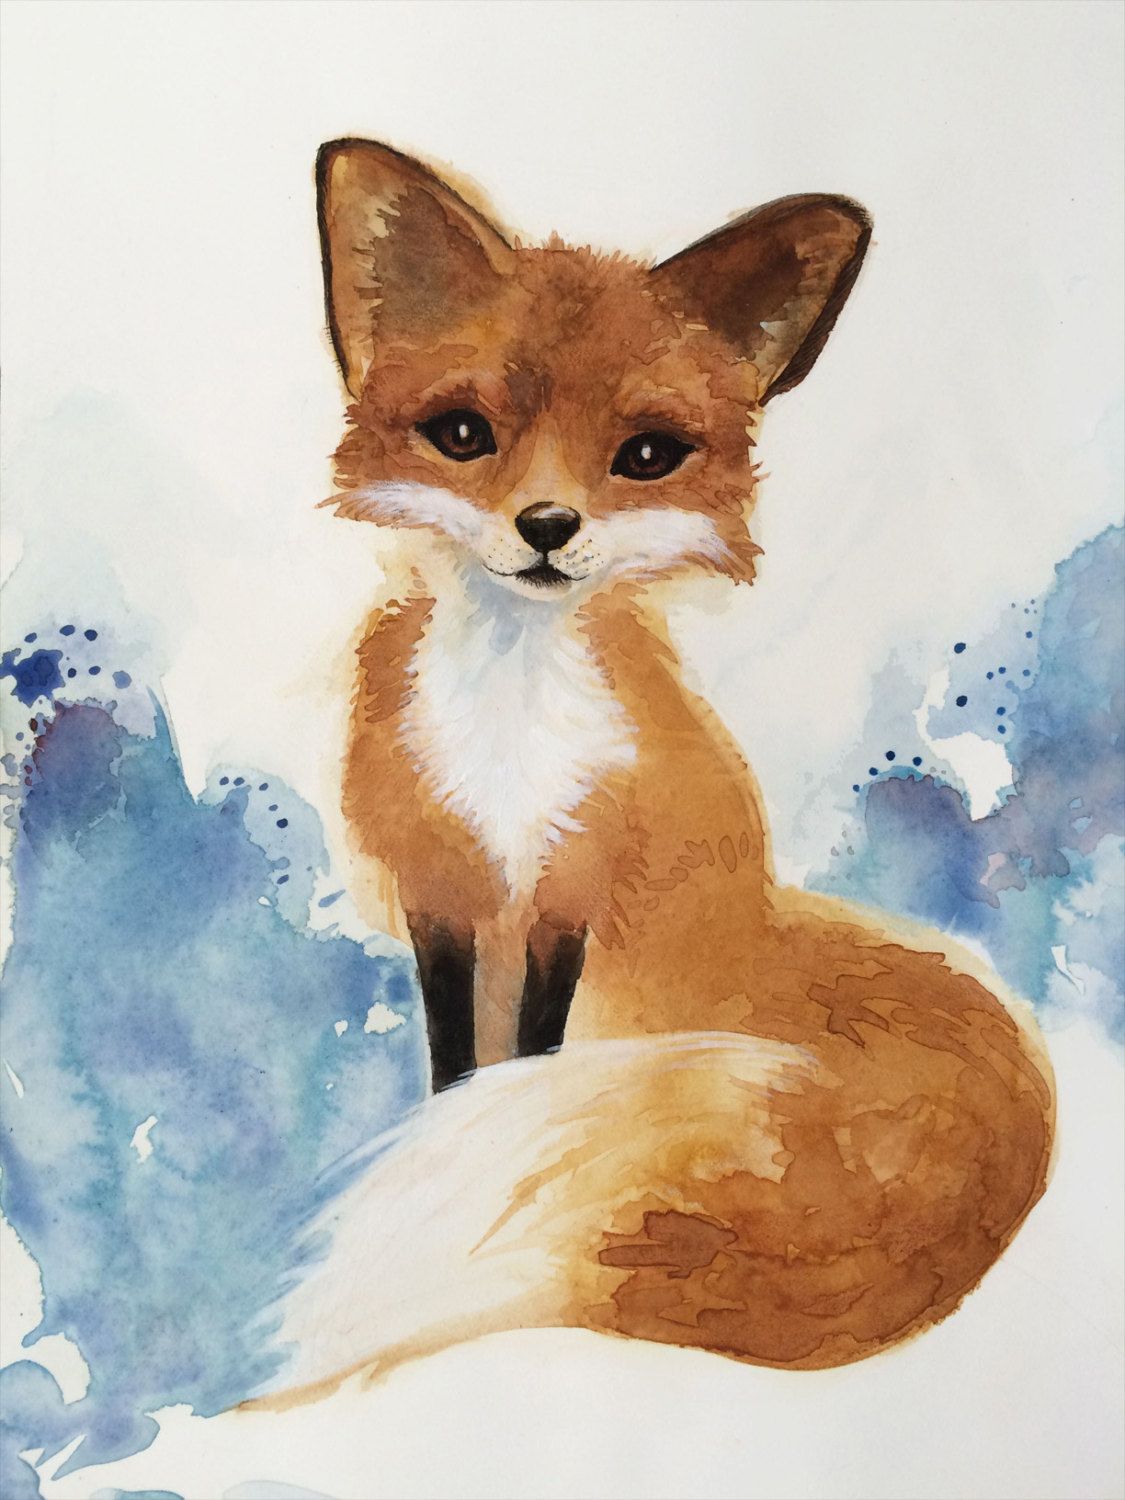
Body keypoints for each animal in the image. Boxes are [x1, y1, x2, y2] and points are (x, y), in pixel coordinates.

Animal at [262, 139, 1055, 1403]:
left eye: (646, 456)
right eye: (462, 434)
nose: (547, 525)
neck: (510, 736)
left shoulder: (574, 884)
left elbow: (524, 1053)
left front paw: (462, 1152)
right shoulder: (440, 884)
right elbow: (458, 1057)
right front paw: (447, 1131)